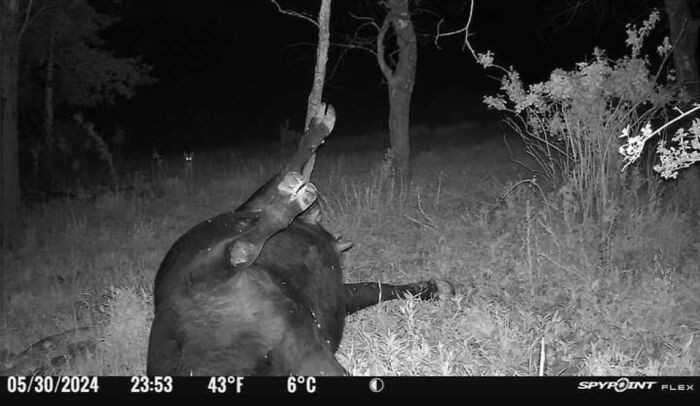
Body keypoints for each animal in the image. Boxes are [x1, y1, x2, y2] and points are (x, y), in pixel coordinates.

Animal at [146, 104, 454, 376]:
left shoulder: (340, 295)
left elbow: (376, 287)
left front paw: (433, 288)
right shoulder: (253, 204)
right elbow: (289, 165)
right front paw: (319, 126)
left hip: (305, 351)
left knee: (241, 250)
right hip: (206, 279)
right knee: (239, 248)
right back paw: (290, 201)